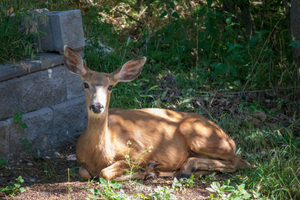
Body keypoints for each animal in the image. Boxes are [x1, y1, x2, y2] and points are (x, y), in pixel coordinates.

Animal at [63, 45, 251, 181]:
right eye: (85, 84)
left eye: (110, 87)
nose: (97, 106)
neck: (99, 154)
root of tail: (229, 139)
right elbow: (85, 173)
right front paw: (151, 172)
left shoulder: (140, 151)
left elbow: (105, 173)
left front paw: (146, 172)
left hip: (197, 133)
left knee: (241, 162)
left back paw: (182, 168)